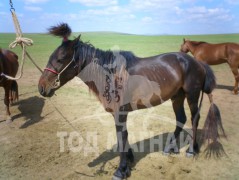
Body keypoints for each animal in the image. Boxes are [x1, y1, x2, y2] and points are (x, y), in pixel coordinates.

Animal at [38, 23, 225, 179]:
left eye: (61, 59)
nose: (41, 87)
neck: (111, 76)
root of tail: (197, 62)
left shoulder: (120, 112)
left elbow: (121, 137)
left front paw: (120, 170)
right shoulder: (120, 113)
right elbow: (125, 135)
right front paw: (128, 161)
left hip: (192, 95)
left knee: (194, 118)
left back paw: (192, 150)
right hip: (177, 96)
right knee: (181, 118)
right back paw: (169, 148)